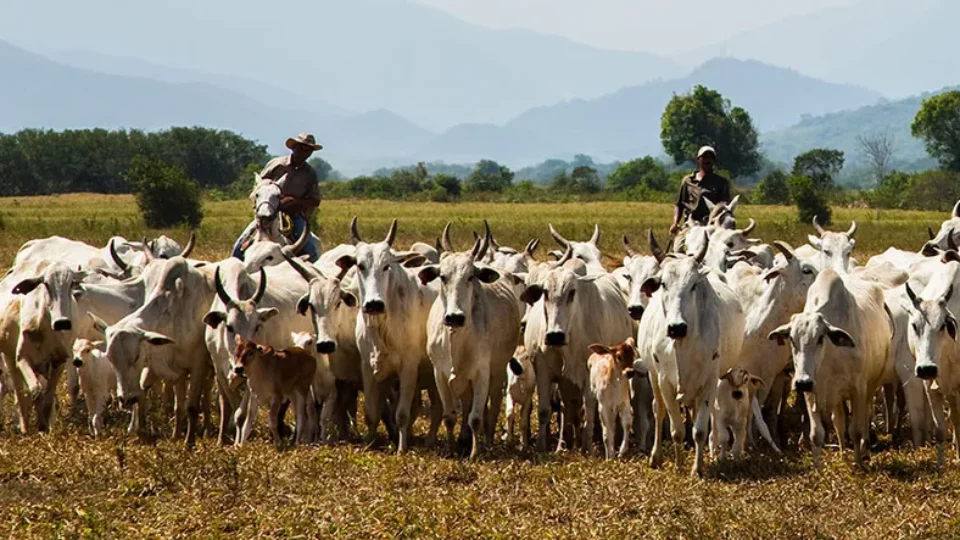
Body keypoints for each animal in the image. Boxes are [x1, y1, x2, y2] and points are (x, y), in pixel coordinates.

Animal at [420, 230, 520, 458]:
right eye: (442, 277)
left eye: (470, 276)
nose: (455, 317)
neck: (457, 340)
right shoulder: (440, 374)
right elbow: (450, 416)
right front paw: (451, 449)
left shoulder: (482, 373)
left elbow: (476, 417)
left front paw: (475, 453)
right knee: (467, 404)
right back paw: (464, 439)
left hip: (497, 371)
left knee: (492, 407)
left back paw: (488, 439)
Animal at [764, 270, 892, 468]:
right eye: (791, 339)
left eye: (820, 338)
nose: (802, 382)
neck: (828, 359)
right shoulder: (812, 393)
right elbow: (817, 434)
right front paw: (818, 467)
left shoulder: (858, 389)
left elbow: (855, 430)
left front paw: (858, 464)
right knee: (839, 422)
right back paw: (843, 454)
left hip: (873, 384)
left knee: (865, 417)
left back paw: (865, 450)